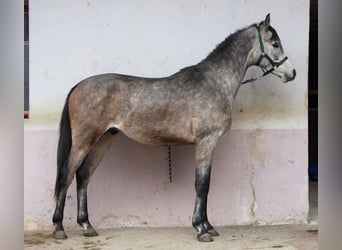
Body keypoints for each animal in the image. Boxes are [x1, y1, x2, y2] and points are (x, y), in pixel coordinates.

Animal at [52, 14, 296, 242]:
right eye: (275, 43)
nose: (291, 73)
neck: (215, 83)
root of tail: (79, 85)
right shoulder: (206, 142)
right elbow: (202, 185)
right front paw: (201, 229)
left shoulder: (208, 145)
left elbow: (206, 184)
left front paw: (208, 226)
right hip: (84, 140)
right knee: (67, 175)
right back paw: (58, 228)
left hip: (104, 138)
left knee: (83, 175)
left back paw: (87, 226)